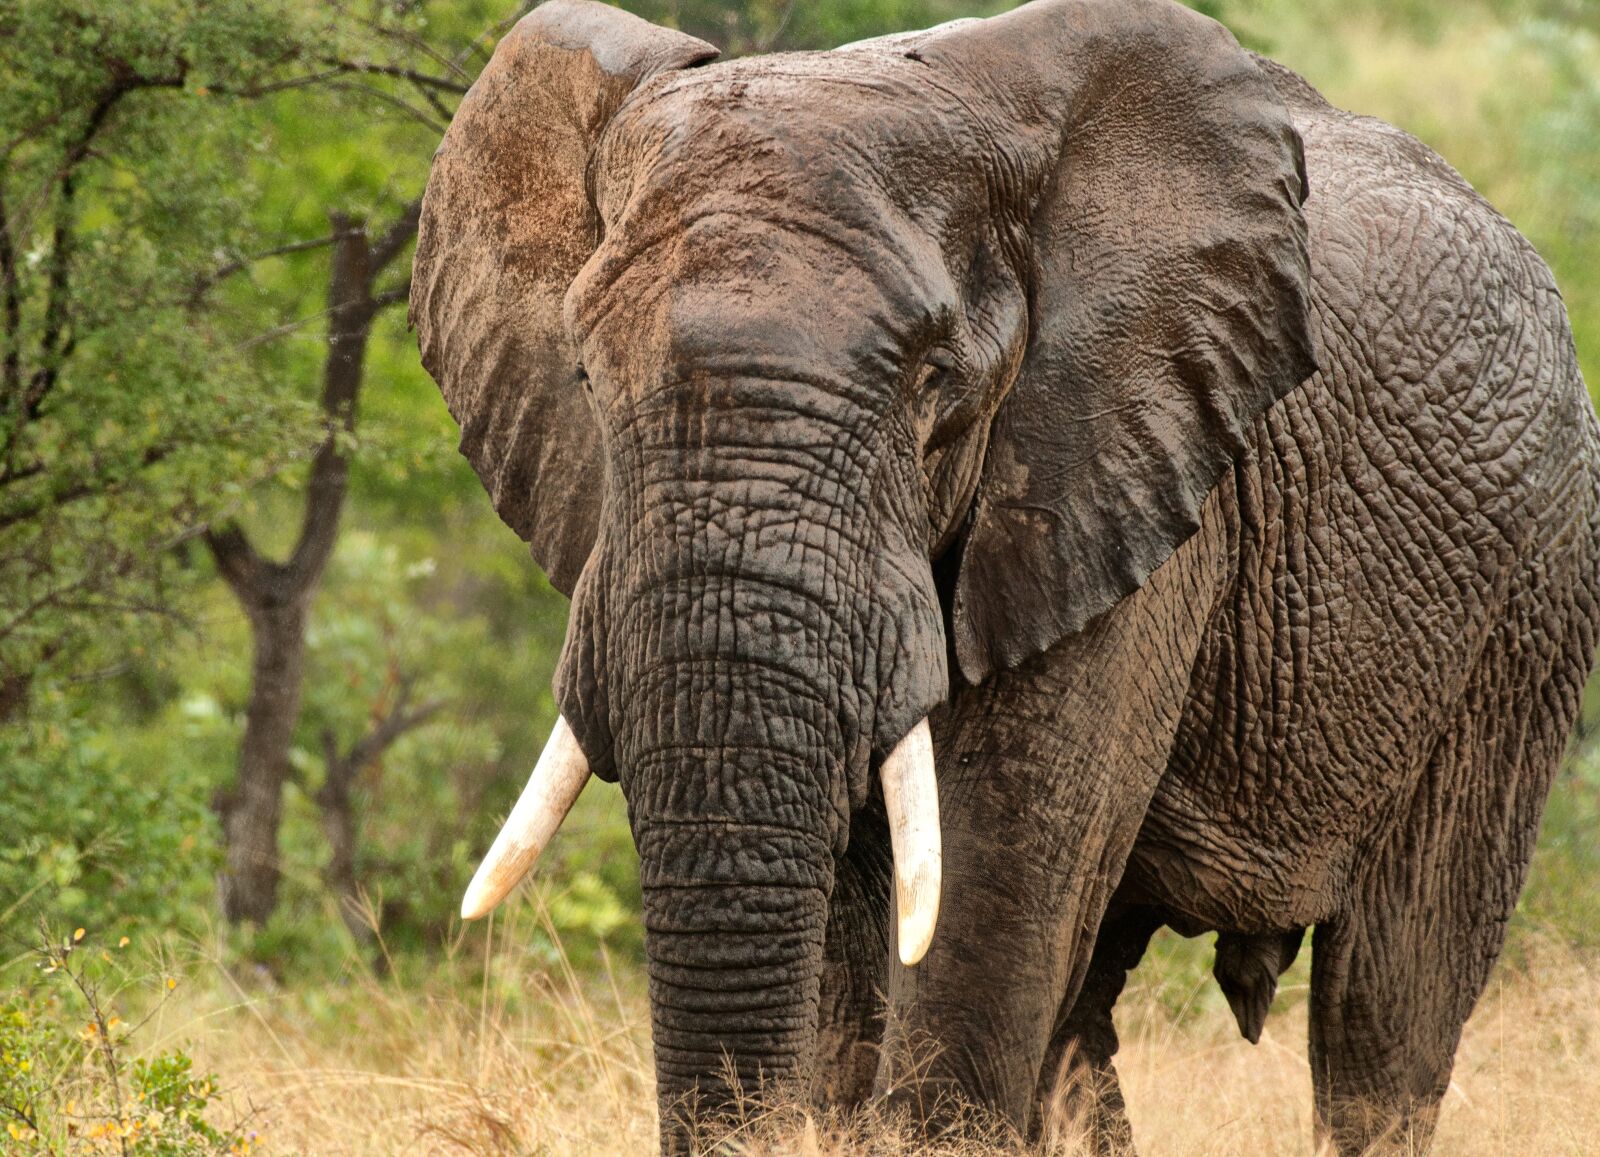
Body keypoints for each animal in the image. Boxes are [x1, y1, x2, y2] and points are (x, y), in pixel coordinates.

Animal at [409, 0, 1600, 1151]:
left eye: (936, 384)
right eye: (580, 375)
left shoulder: (1131, 468)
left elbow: (993, 866)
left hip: (1531, 595)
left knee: (1387, 1005)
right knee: (1086, 1017)